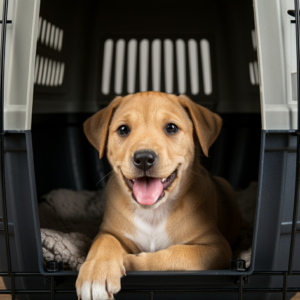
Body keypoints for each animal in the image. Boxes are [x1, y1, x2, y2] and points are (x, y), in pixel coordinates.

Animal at [76, 92, 243, 298]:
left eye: (171, 128)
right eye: (123, 129)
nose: (143, 158)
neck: (153, 213)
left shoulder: (216, 247)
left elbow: (175, 255)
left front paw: (130, 261)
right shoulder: (108, 231)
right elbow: (103, 243)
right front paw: (95, 275)